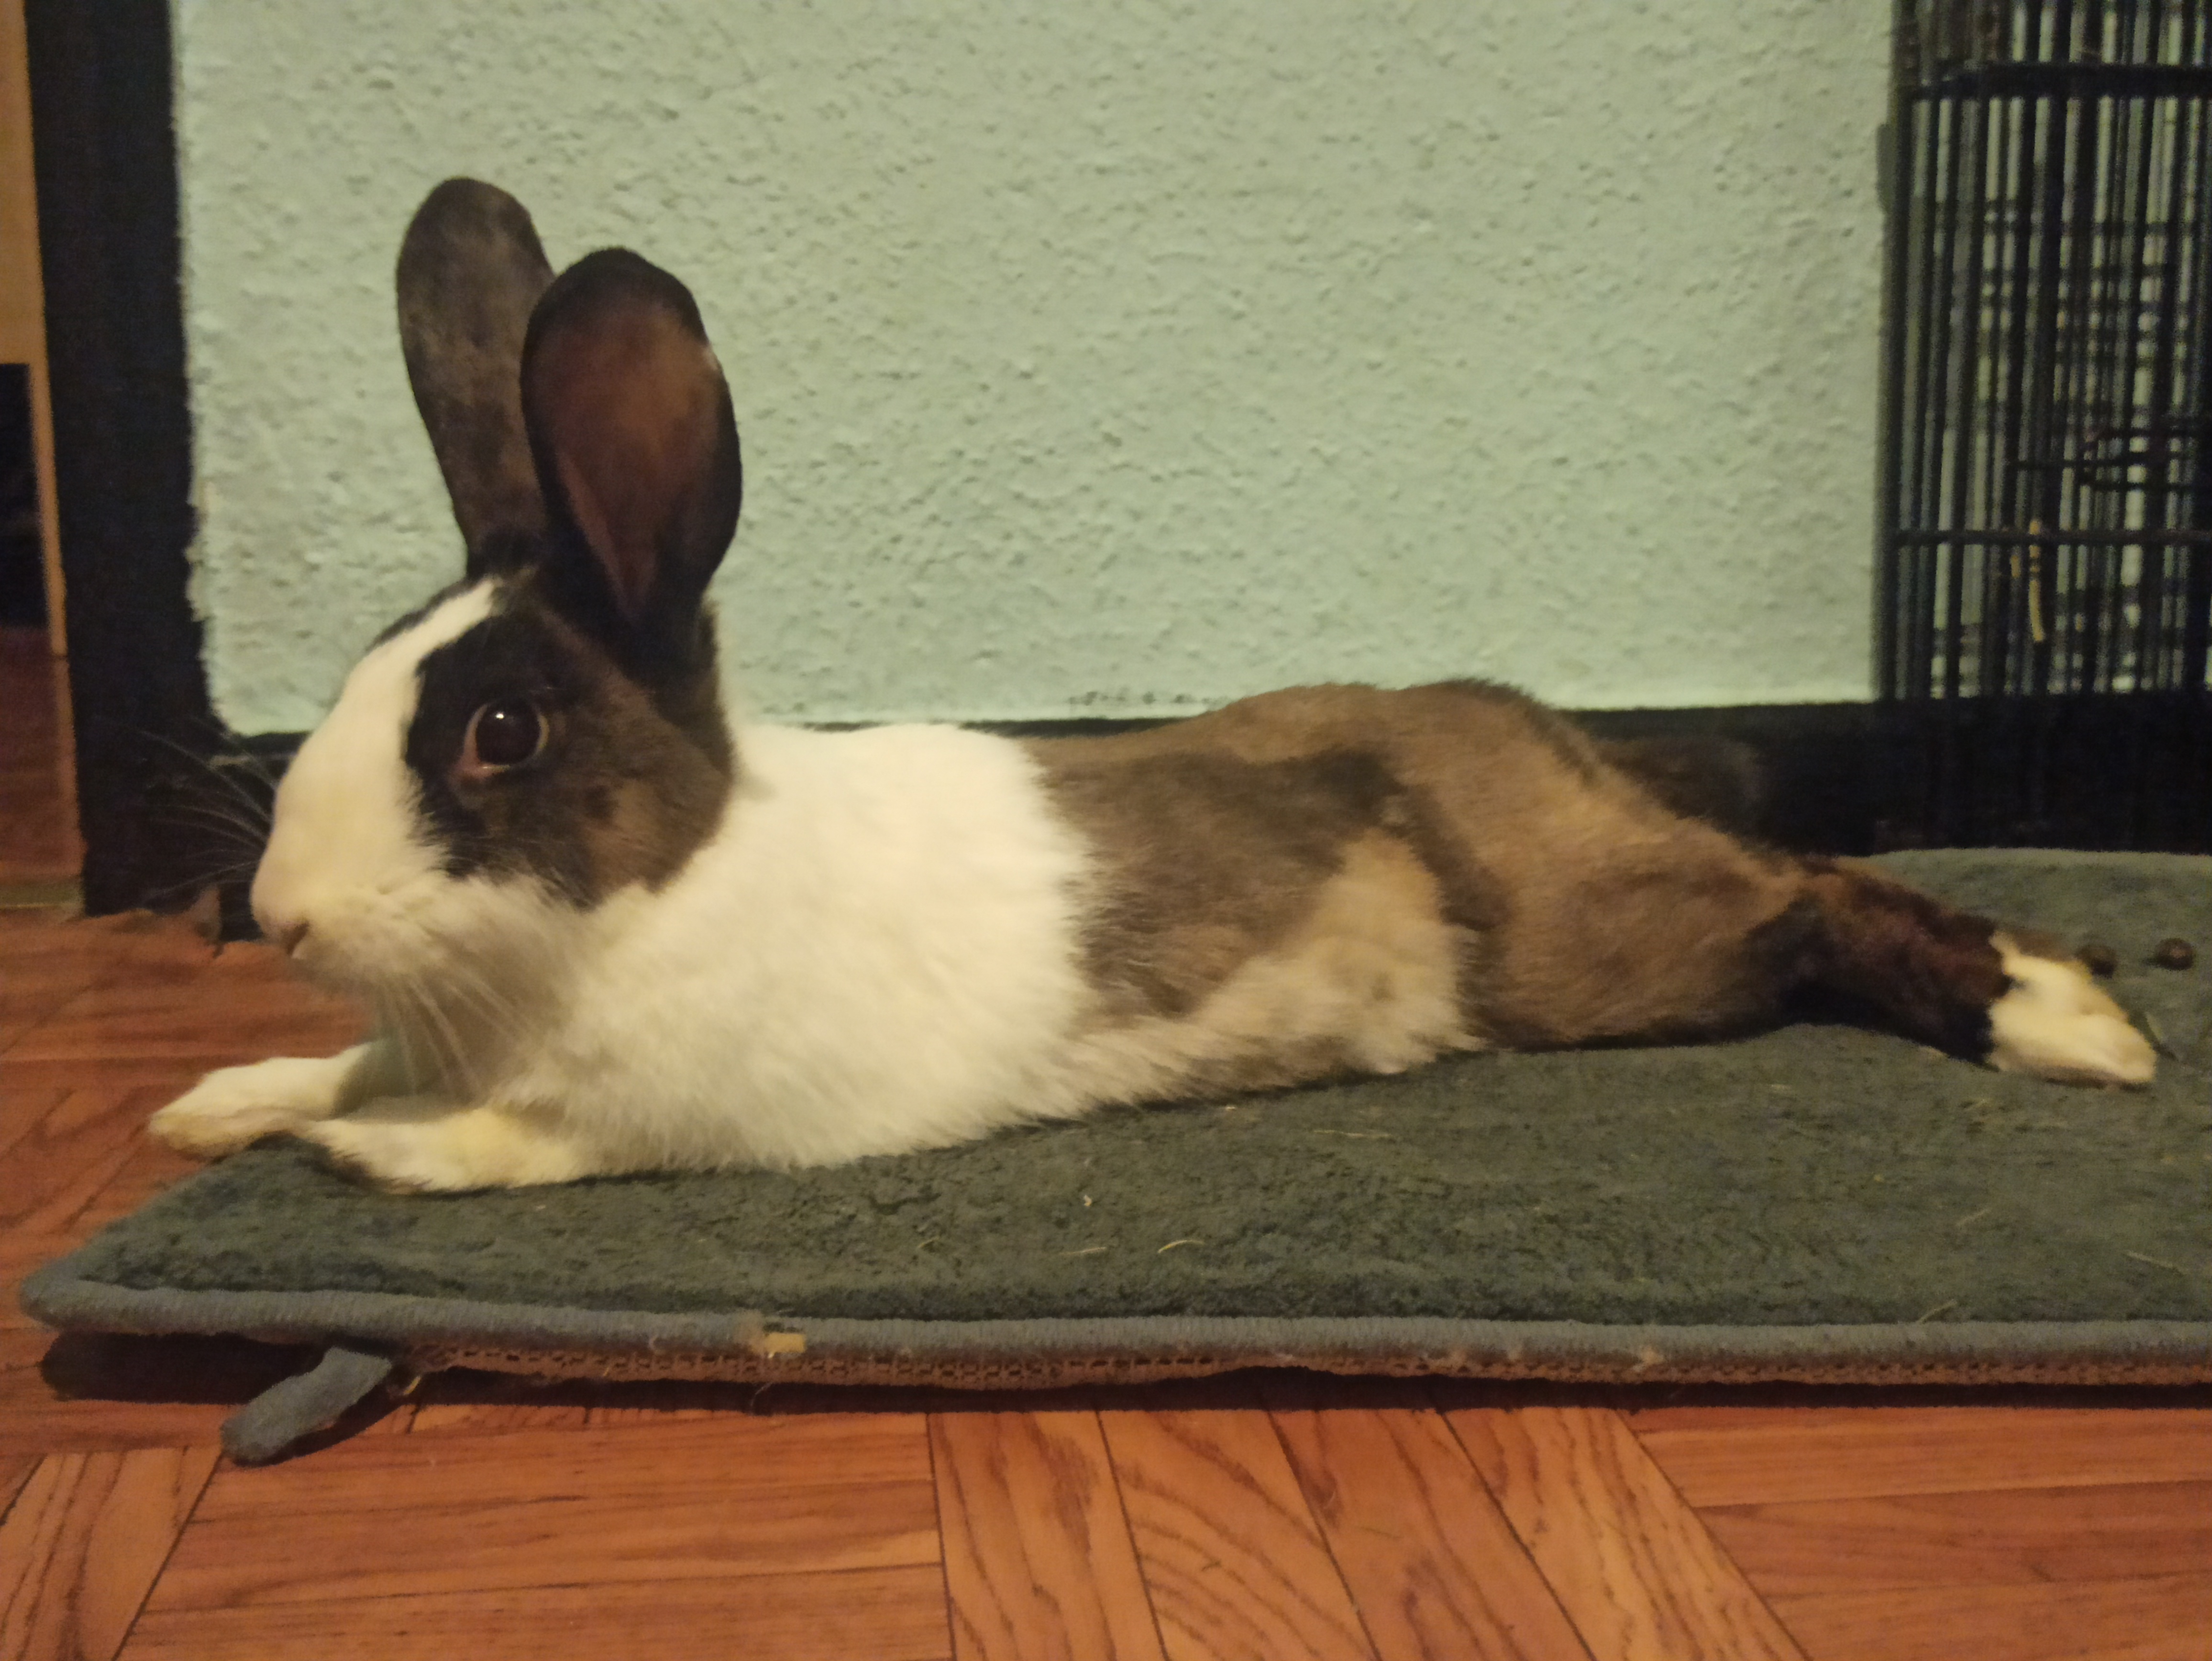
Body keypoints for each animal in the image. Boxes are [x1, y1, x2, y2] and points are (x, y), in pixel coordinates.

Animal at [148, 178, 2156, 1193]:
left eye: (502, 730)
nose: (281, 911)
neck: (654, 886)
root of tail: (1544, 740)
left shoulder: (613, 1123)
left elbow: (436, 1147)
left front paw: (311, 1143)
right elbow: (341, 1067)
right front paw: (212, 1102)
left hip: (1613, 948)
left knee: (1819, 892)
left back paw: (2065, 1022)